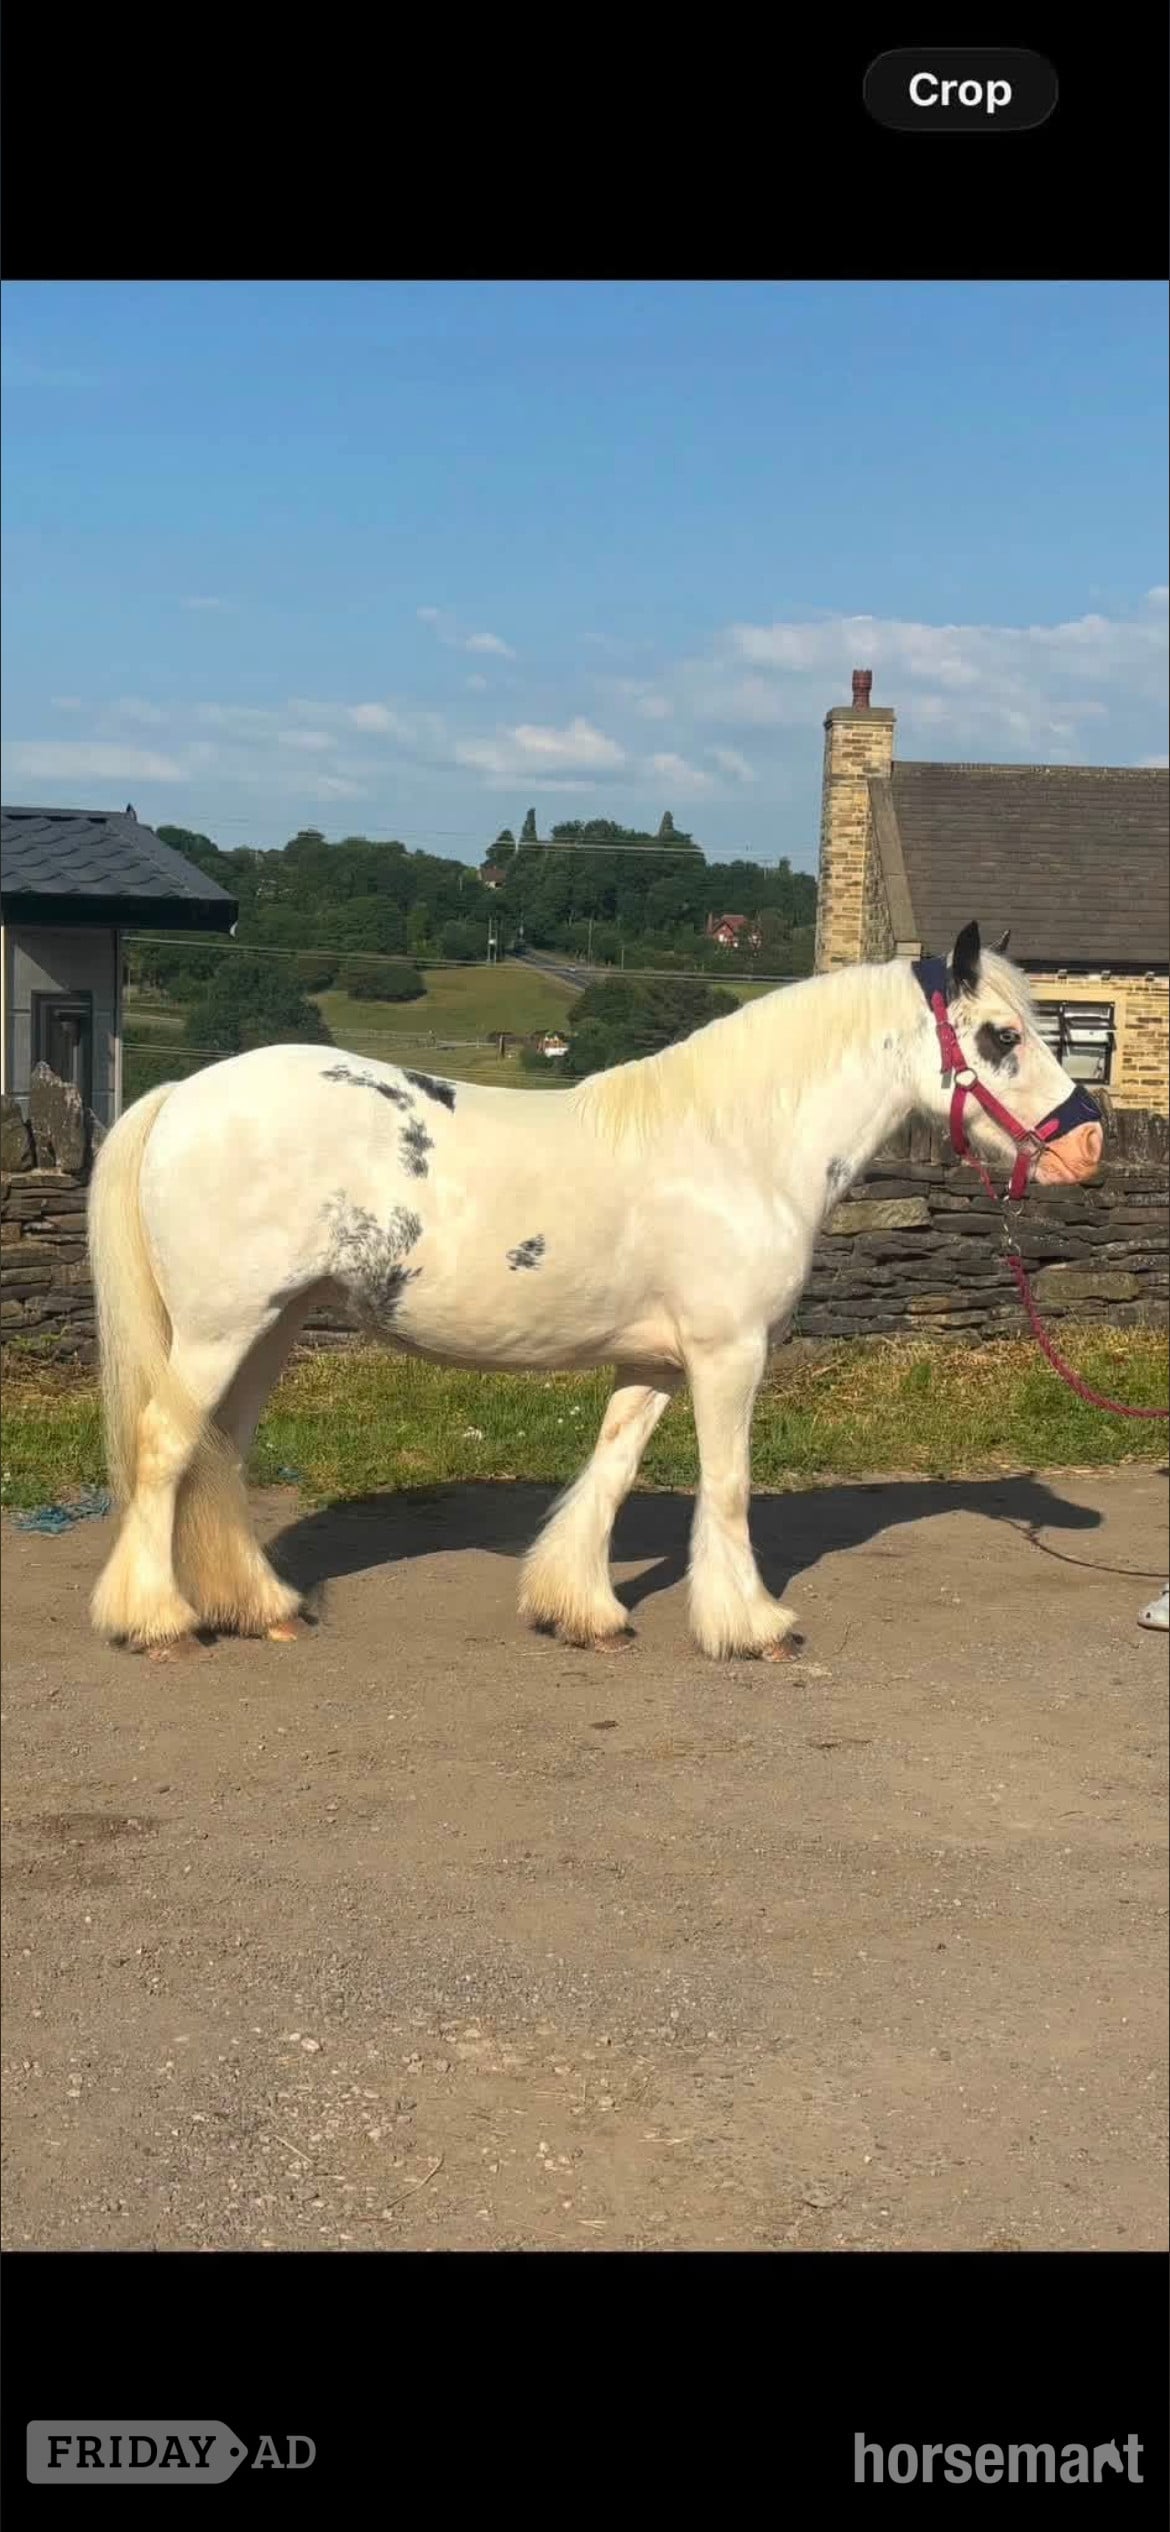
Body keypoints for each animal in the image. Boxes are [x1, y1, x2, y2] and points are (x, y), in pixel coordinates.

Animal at [87, 921, 1103, 1661]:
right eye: (1003, 1037)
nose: (1087, 1145)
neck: (739, 1146)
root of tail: (180, 1096)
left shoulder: (655, 1360)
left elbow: (610, 1472)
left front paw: (582, 1610)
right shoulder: (729, 1353)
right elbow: (728, 1485)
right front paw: (751, 1626)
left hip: (269, 1328)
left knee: (220, 1454)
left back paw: (261, 1607)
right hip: (219, 1331)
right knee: (165, 1445)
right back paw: (156, 1622)